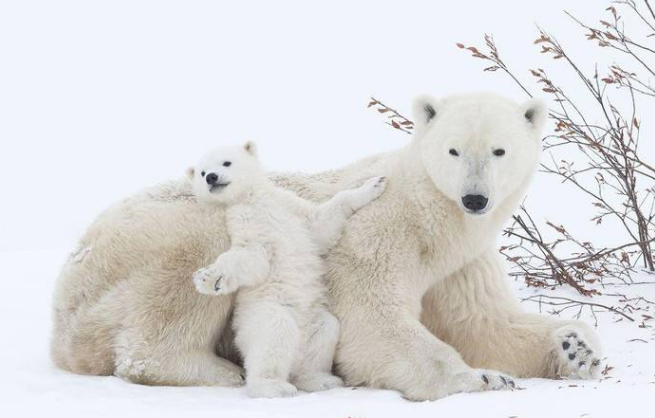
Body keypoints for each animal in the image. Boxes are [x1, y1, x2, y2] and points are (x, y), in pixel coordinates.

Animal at [52, 93, 600, 400]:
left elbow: (482, 322)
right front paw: (481, 379)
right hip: (160, 238)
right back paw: (220, 369)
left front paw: (576, 346)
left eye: (499, 150)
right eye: (453, 150)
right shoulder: (380, 233)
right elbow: (371, 318)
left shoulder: (460, 263)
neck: (433, 219)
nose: (475, 197)